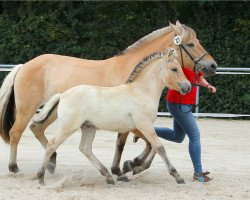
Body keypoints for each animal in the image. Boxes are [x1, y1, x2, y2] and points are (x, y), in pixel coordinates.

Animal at [0, 20, 217, 173]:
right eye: (191, 44)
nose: (212, 66)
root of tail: (24, 65)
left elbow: (140, 144)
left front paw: (129, 165)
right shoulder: (133, 122)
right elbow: (140, 144)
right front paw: (127, 166)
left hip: (52, 112)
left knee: (37, 129)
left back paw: (52, 162)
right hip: (28, 109)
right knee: (16, 133)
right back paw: (14, 167)